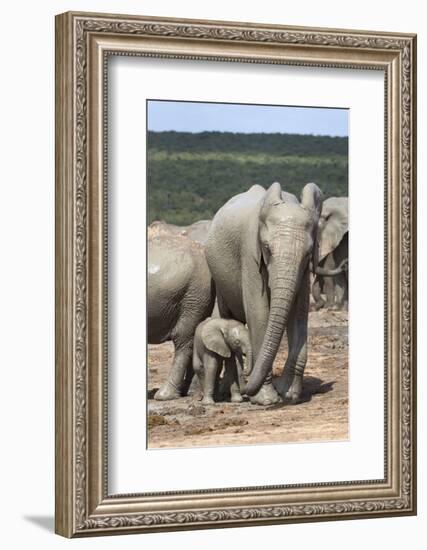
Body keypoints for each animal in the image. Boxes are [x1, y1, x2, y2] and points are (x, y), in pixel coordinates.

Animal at [206, 183, 324, 408]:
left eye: (308, 253)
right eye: (267, 248)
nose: (248, 386)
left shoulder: (304, 269)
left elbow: (299, 314)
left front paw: (289, 394)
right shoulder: (250, 252)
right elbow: (259, 313)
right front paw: (267, 399)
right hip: (219, 278)